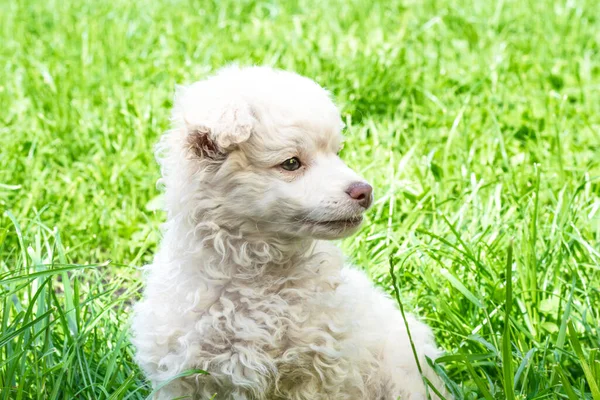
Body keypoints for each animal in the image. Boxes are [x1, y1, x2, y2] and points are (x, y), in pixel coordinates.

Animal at [132, 67, 450, 398]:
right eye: (291, 163)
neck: (257, 273)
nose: (365, 191)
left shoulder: (317, 372)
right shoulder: (182, 376)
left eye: (337, 153)